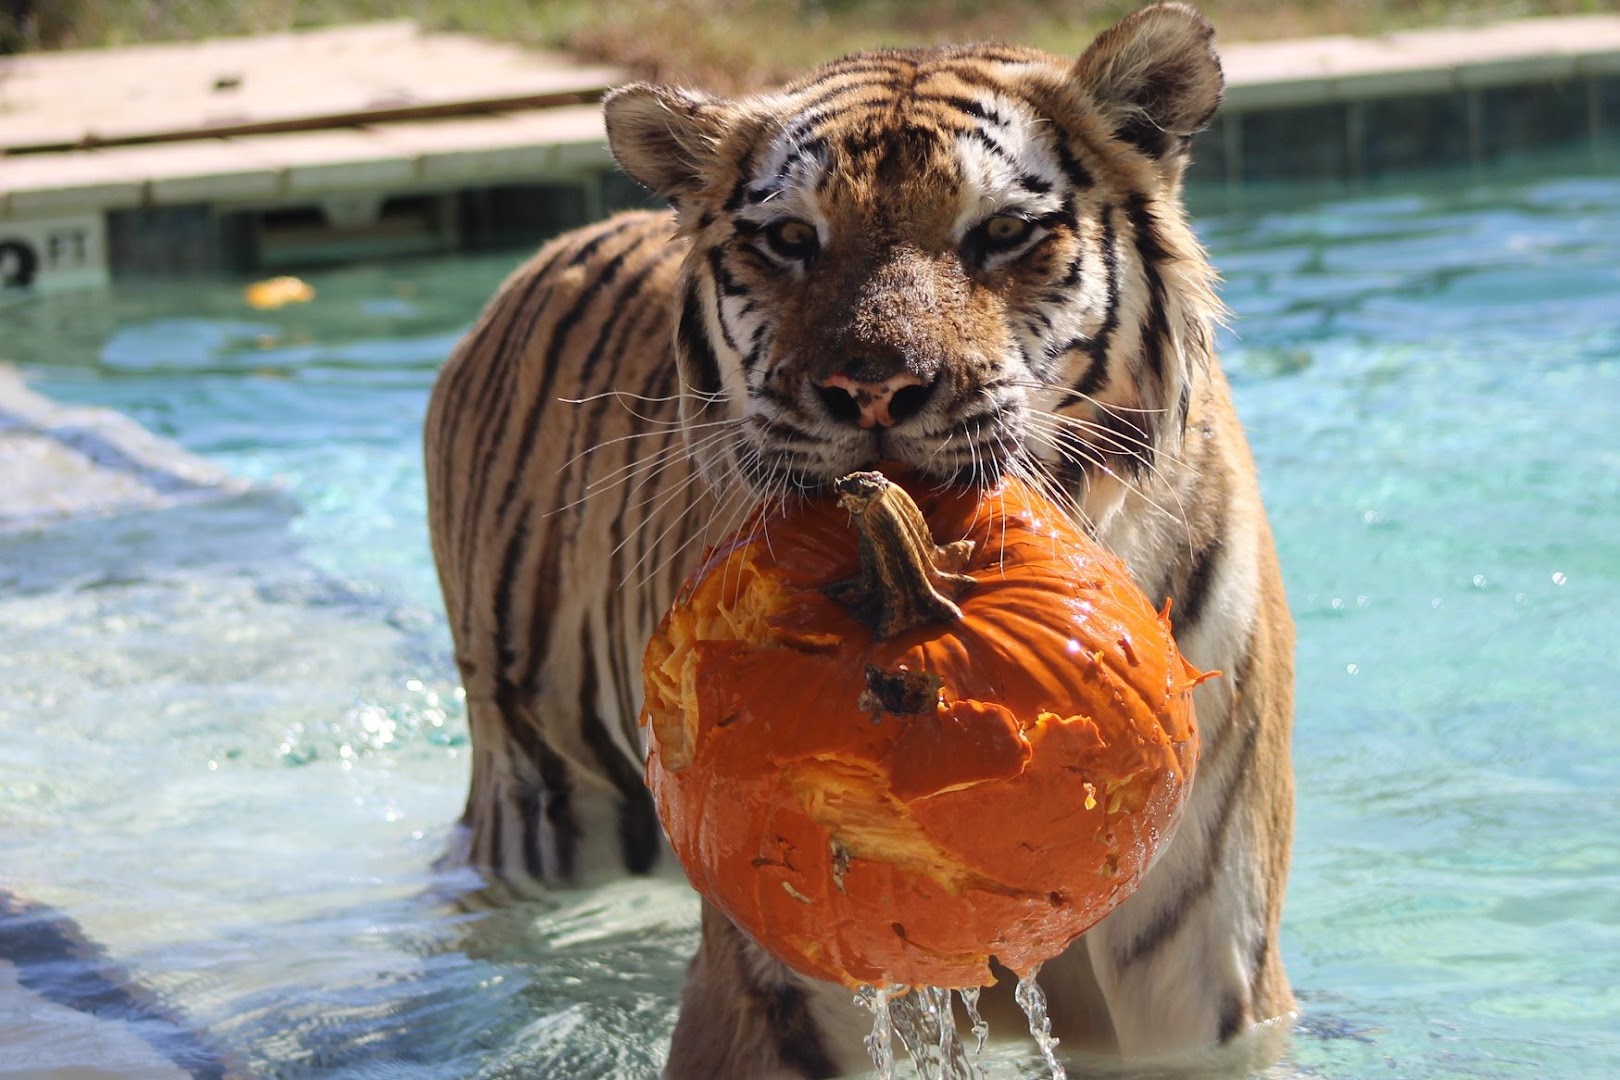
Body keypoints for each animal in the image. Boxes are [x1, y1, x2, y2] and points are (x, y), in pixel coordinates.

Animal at [423, 2, 1296, 1075]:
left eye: (1002, 232)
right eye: (793, 238)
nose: (873, 389)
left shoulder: (1199, 989)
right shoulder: (778, 981)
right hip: (539, 791)